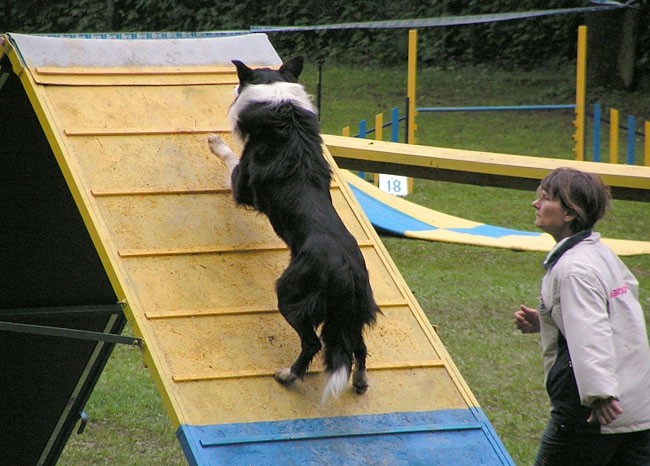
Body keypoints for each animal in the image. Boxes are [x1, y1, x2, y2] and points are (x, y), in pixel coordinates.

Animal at [208, 57, 378, 400]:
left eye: (240, 80)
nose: (231, 88)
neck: (282, 106)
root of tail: (347, 271)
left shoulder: (242, 185)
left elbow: (230, 159)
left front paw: (215, 141)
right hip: (352, 312)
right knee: (359, 347)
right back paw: (359, 382)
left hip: (291, 295)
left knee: (312, 343)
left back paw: (287, 375)